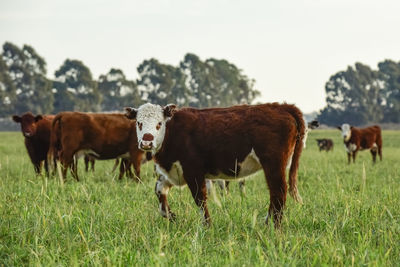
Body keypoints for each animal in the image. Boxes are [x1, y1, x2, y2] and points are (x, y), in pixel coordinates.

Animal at [126, 103, 308, 228]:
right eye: (139, 123)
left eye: (159, 123)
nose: (147, 142)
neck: (173, 133)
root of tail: (282, 107)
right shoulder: (173, 172)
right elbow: (159, 190)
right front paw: (171, 215)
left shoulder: (193, 171)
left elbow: (200, 199)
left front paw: (206, 225)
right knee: (276, 194)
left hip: (274, 164)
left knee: (278, 192)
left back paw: (271, 226)